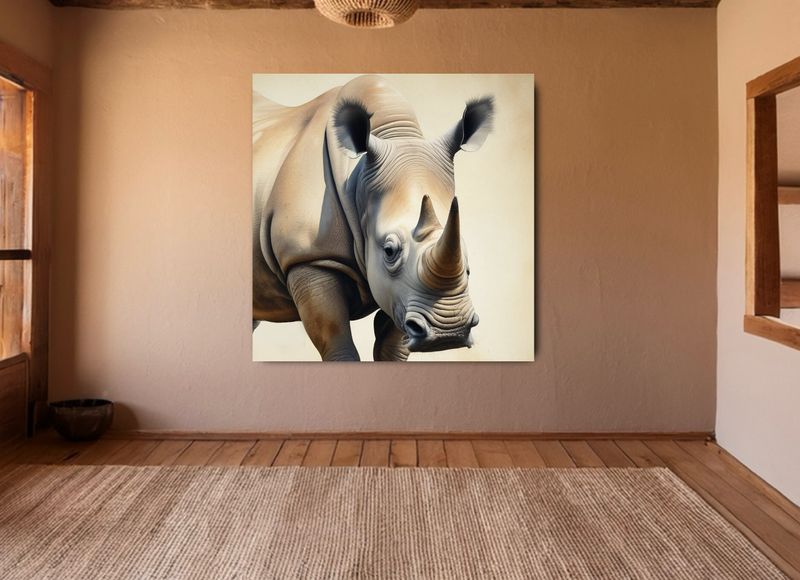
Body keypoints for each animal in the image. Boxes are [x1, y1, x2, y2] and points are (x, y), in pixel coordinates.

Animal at [253, 75, 493, 361]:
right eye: (389, 250)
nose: (449, 333)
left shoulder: (402, 291)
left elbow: (393, 345)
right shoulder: (309, 258)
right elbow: (336, 339)